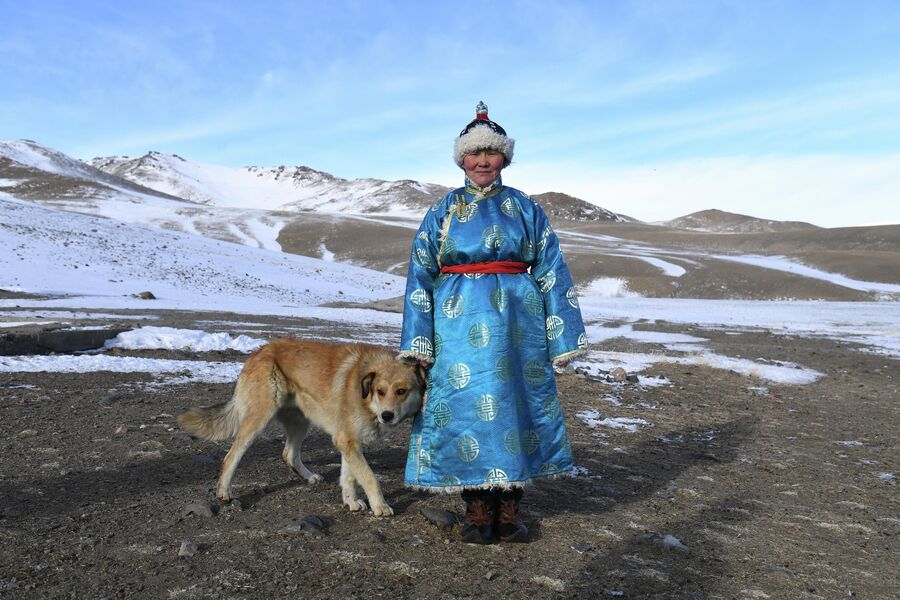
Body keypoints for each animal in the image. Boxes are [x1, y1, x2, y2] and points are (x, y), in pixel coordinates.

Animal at [179, 340, 428, 516]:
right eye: (380, 391)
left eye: (401, 391)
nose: (387, 415)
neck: (364, 394)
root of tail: (260, 350)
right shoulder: (347, 441)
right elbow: (368, 476)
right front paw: (380, 506)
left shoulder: (347, 441)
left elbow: (349, 476)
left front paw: (350, 501)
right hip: (257, 421)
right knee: (231, 456)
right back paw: (223, 491)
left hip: (301, 422)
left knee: (288, 453)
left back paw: (308, 476)